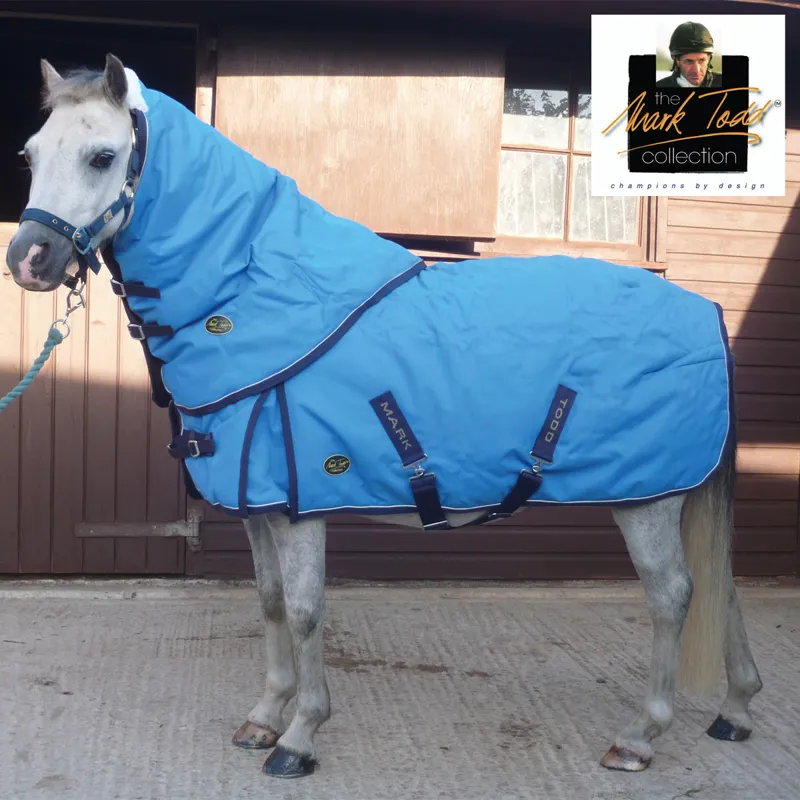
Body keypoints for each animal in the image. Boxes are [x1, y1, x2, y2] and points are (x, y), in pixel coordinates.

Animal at [5, 53, 763, 779]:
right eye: (31, 154)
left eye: (102, 155)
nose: (29, 259)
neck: (252, 294)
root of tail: (706, 311)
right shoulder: (257, 501)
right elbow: (271, 601)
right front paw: (263, 718)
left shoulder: (298, 501)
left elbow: (306, 610)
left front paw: (300, 737)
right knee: (721, 585)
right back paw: (735, 710)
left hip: (648, 497)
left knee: (674, 595)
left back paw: (641, 738)